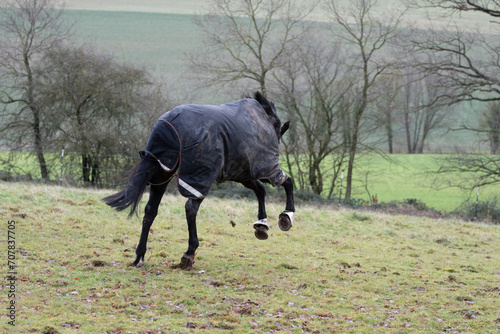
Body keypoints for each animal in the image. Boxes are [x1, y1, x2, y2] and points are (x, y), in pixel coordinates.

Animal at [103, 92, 294, 270]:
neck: (263, 120)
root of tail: (170, 124)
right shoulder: (266, 169)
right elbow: (287, 182)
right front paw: (286, 216)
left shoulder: (242, 174)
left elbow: (260, 190)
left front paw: (262, 224)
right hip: (200, 177)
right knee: (190, 208)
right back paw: (189, 253)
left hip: (162, 173)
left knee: (150, 211)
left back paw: (139, 256)